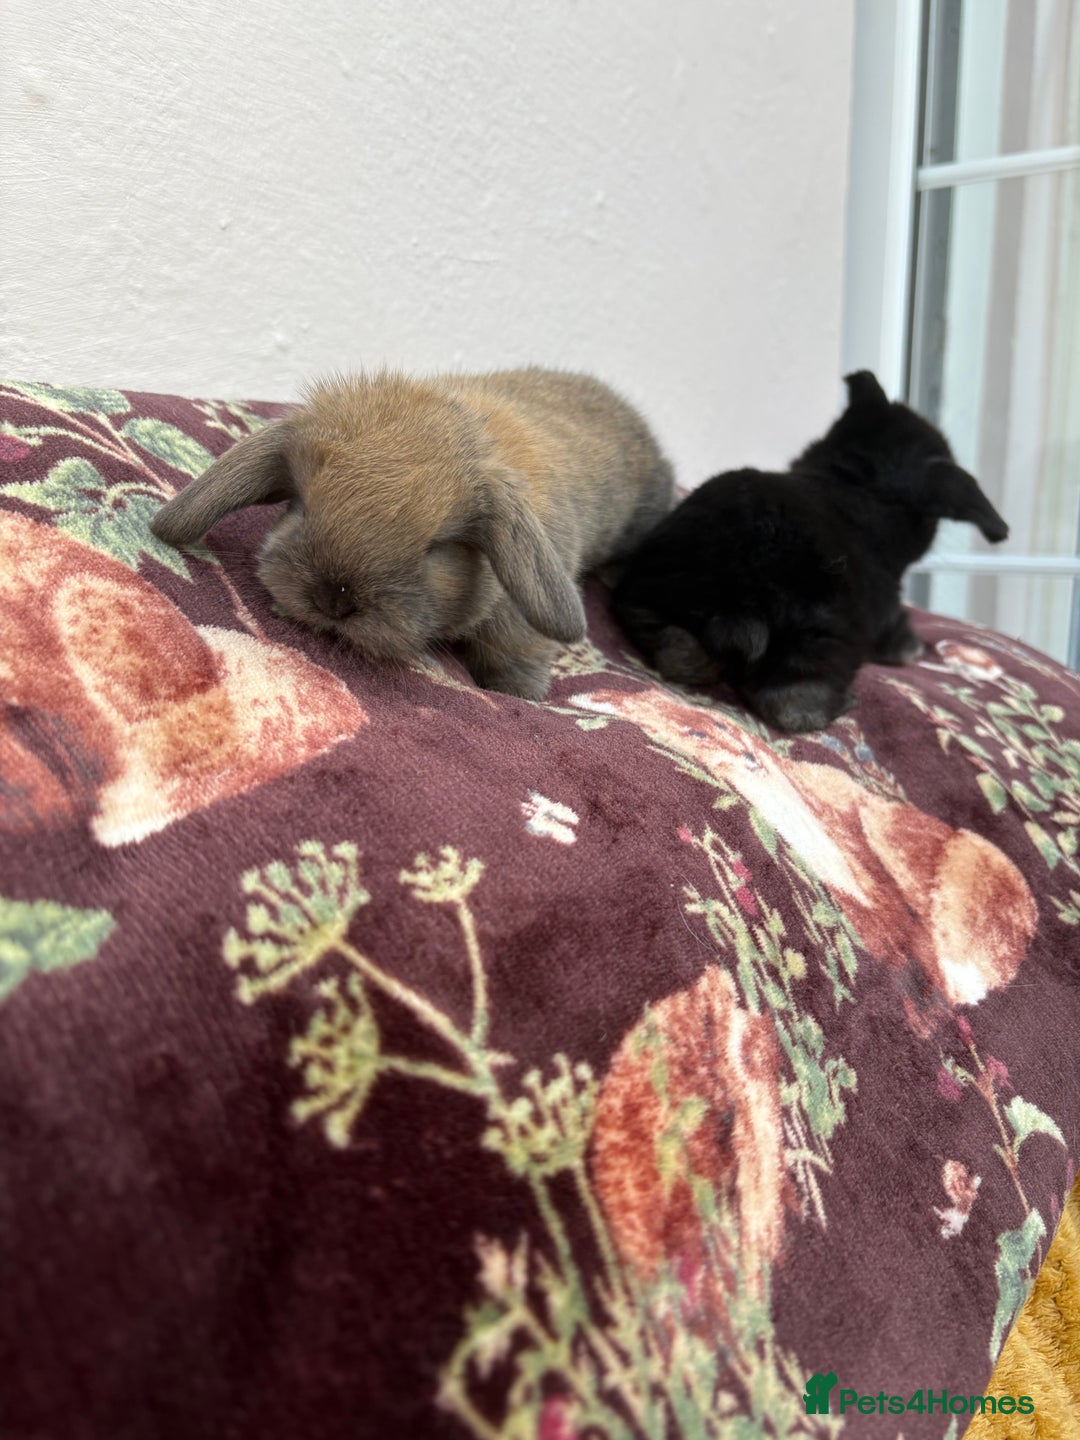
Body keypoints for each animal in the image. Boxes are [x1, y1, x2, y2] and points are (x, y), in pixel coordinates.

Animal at [150, 367, 675, 700]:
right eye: (300, 505)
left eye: (437, 548)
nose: (333, 601)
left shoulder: (519, 620)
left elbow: (516, 650)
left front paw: (518, 694)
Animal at [611, 370, 1009, 732]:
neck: (858, 487)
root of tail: (739, 592)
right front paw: (911, 647)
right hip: (821, 640)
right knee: (792, 705)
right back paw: (844, 701)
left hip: (655, 587)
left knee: (674, 646)